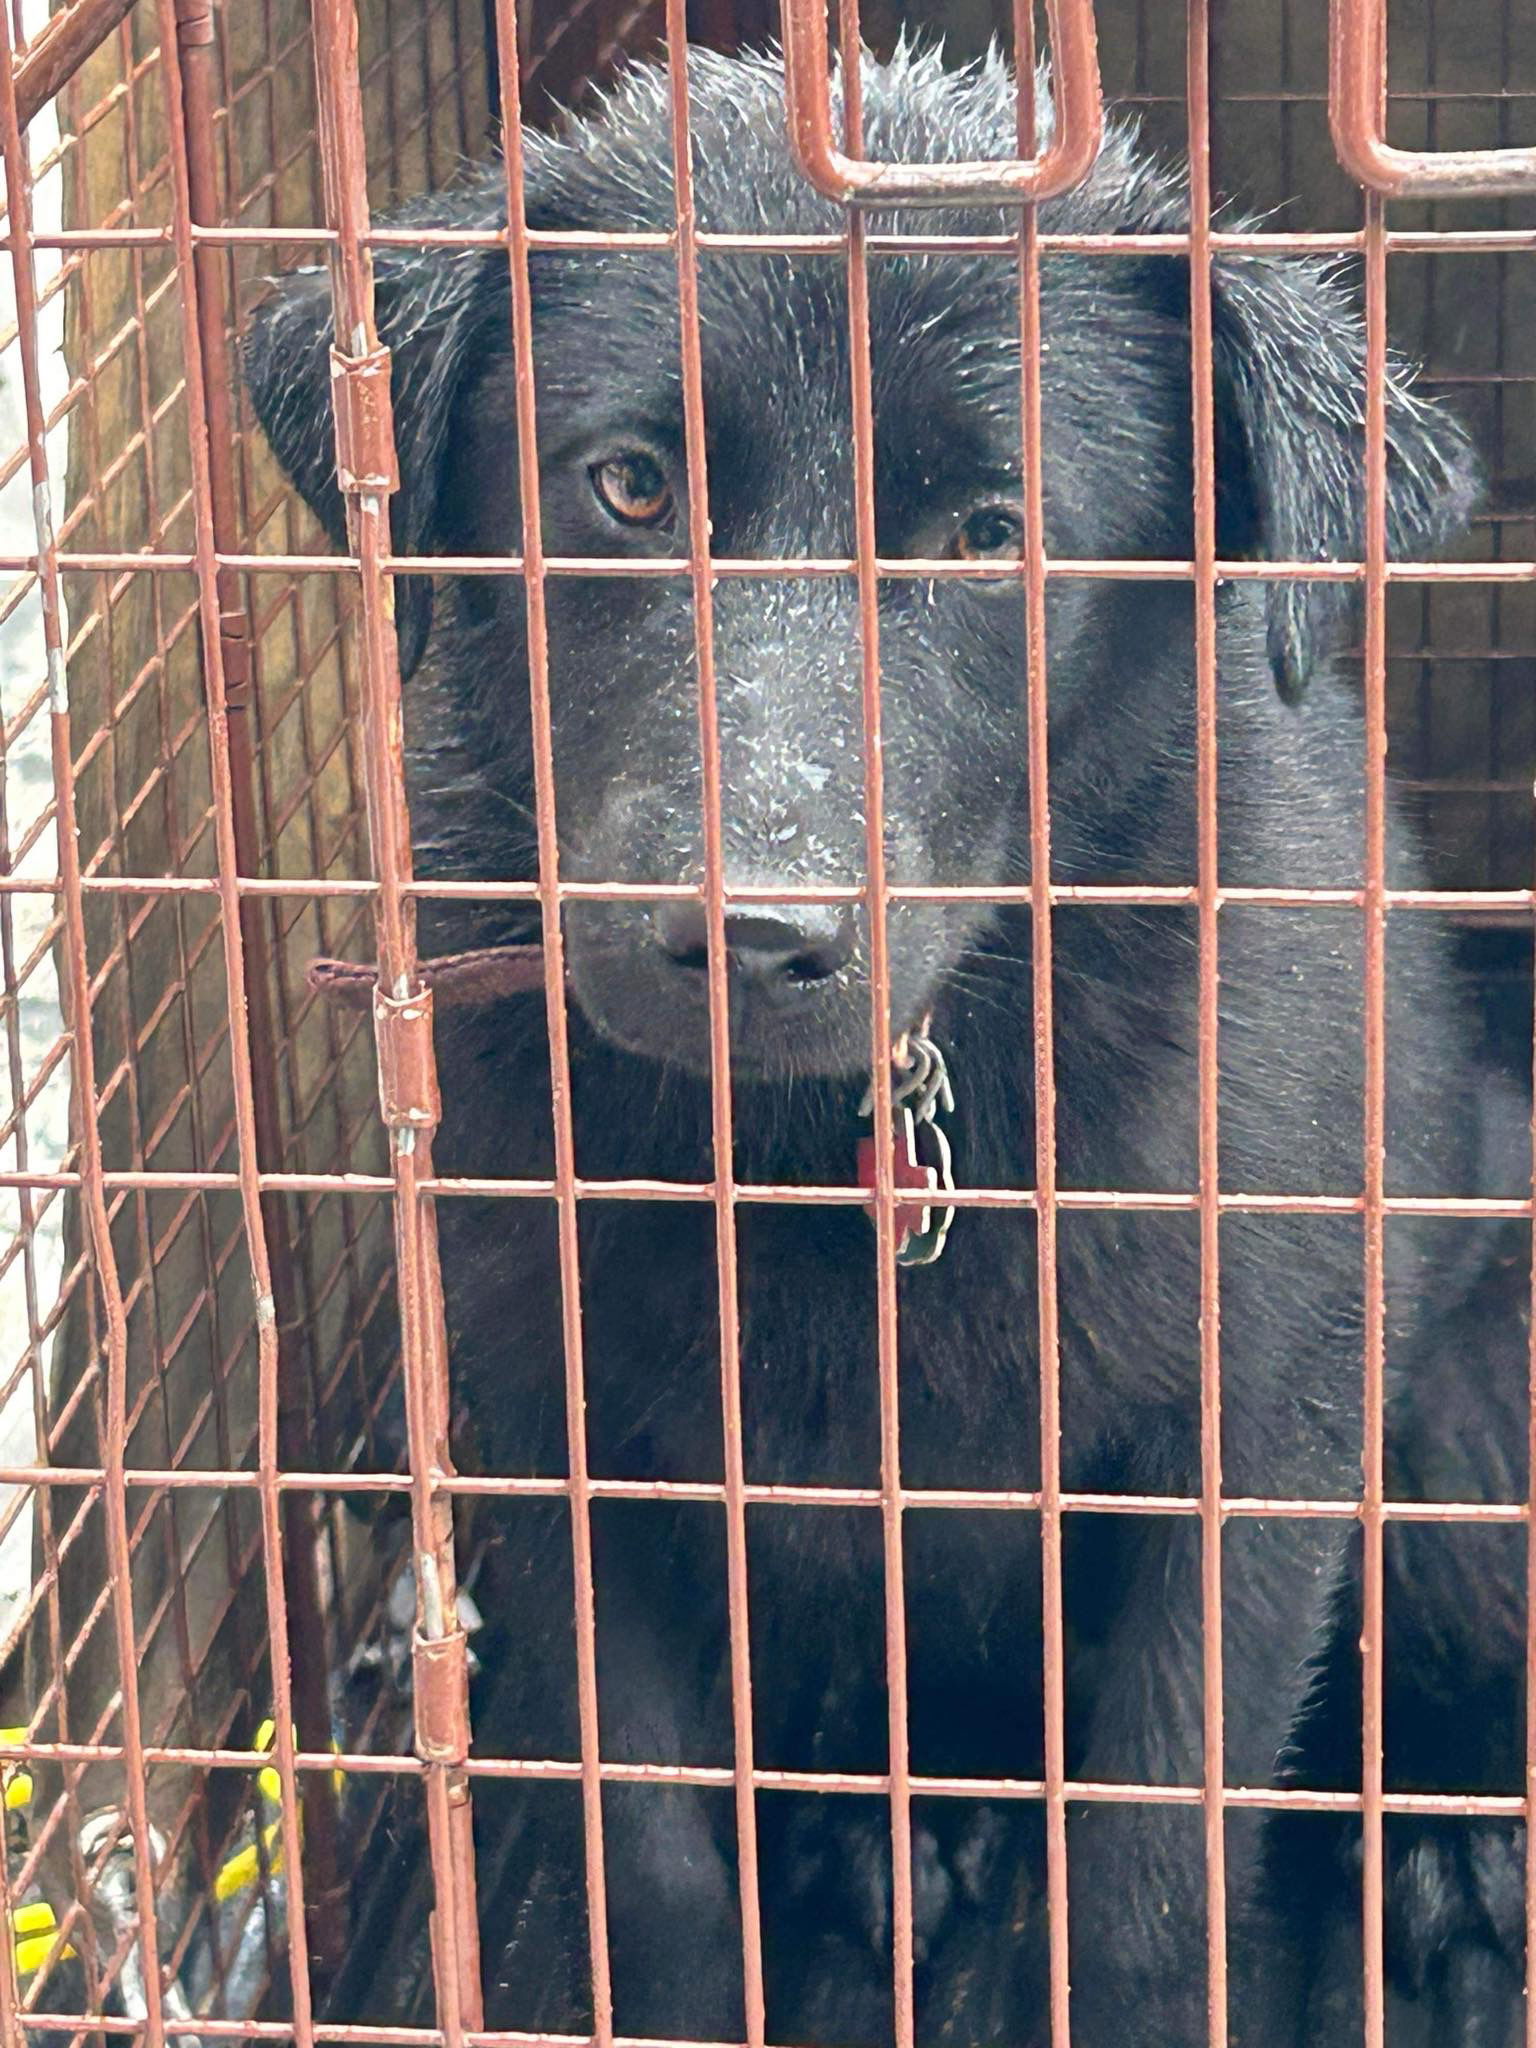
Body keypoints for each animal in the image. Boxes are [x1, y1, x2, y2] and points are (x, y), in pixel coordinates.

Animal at [246, 48, 1531, 2048]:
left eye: (990, 537)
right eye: (627, 486)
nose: (750, 937)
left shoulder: (1263, 1435)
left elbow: (1157, 1857)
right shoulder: (559, 1424)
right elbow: (654, 1849)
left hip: (1461, 1403)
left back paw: (1455, 1848)